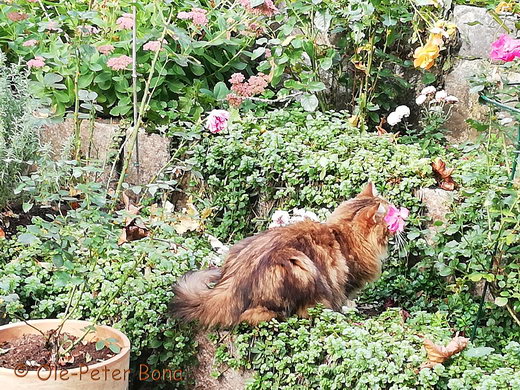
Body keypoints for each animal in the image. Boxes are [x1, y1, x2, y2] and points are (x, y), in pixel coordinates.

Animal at [169, 181, 392, 328]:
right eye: (390, 215)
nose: (398, 216)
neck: (342, 235)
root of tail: (229, 287)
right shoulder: (346, 281)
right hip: (298, 265)